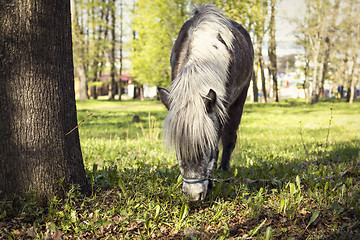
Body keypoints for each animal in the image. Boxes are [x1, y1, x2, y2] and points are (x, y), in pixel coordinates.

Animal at [159, 5, 255, 201]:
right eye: (178, 148)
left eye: (205, 147)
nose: (193, 195)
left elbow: (219, 142)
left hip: (240, 99)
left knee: (229, 138)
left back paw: (224, 170)